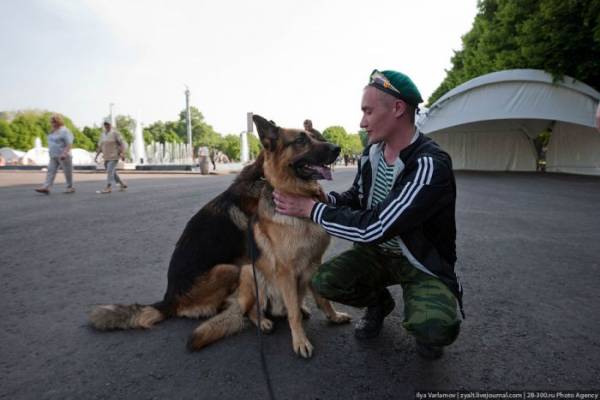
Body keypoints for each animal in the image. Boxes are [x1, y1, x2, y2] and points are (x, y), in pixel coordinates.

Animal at [91, 114, 350, 358]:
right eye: (301, 140)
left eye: (318, 136)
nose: (338, 148)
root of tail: (169, 300)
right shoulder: (282, 266)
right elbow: (293, 307)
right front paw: (300, 335)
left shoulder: (313, 263)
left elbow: (319, 298)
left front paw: (330, 315)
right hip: (233, 269)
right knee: (243, 307)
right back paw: (261, 318)